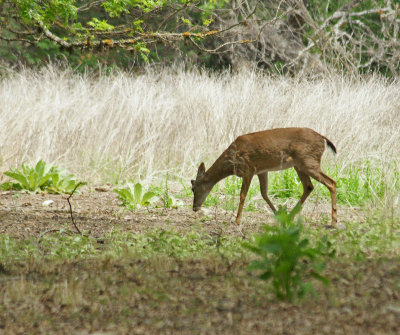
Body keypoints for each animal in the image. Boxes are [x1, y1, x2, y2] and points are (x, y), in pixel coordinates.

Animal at [192, 129, 336, 226]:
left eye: (193, 187)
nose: (194, 208)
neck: (231, 162)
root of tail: (323, 138)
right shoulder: (261, 171)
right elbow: (264, 193)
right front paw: (278, 215)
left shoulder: (248, 169)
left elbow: (242, 195)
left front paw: (237, 220)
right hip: (300, 165)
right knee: (309, 186)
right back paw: (290, 217)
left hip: (309, 162)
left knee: (332, 182)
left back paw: (334, 221)